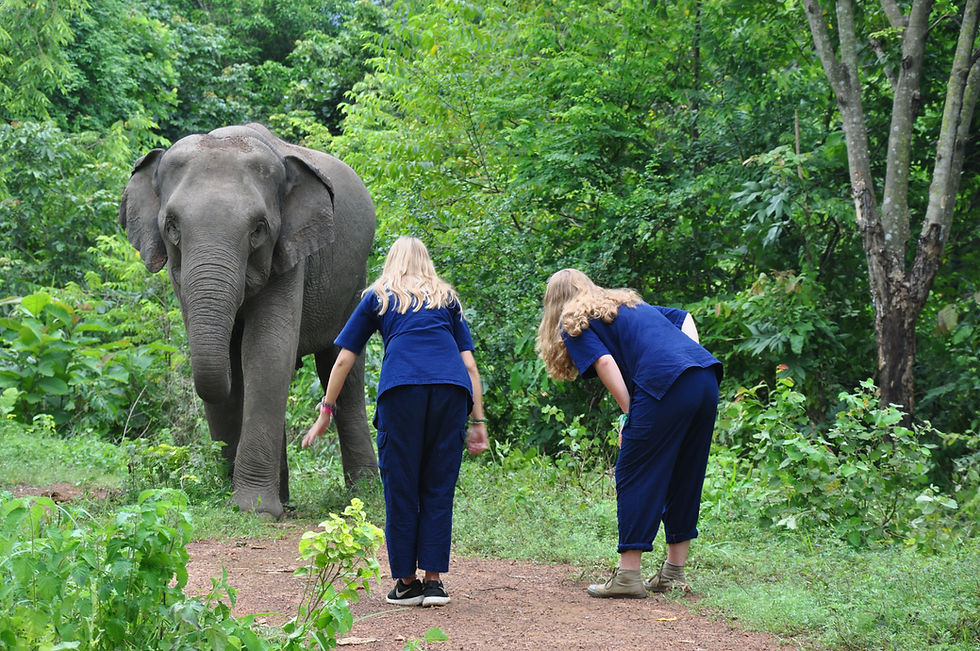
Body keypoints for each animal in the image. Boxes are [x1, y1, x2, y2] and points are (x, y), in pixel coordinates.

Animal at [118, 123, 379, 519]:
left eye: (258, 229)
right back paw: (285, 498)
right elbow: (233, 359)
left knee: (342, 369)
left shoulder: (290, 255)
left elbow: (267, 353)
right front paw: (238, 498)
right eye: (172, 226)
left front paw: (252, 509)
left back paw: (363, 495)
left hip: (354, 282)